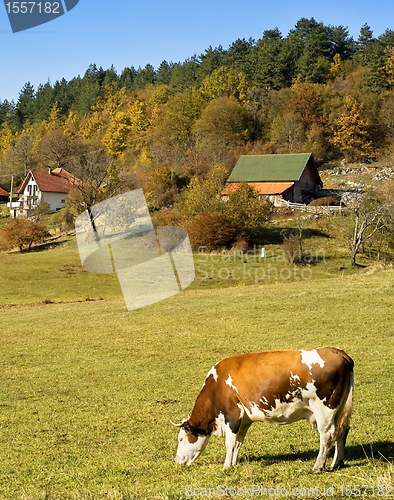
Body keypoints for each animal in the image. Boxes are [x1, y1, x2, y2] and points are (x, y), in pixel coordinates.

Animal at [172, 346, 354, 470]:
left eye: (181, 439)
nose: (176, 460)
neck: (217, 385)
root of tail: (338, 352)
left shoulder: (232, 415)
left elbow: (230, 443)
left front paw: (226, 466)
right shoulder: (244, 420)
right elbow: (238, 443)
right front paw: (234, 463)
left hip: (325, 409)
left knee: (327, 435)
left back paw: (318, 466)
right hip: (340, 408)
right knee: (342, 431)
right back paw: (337, 462)